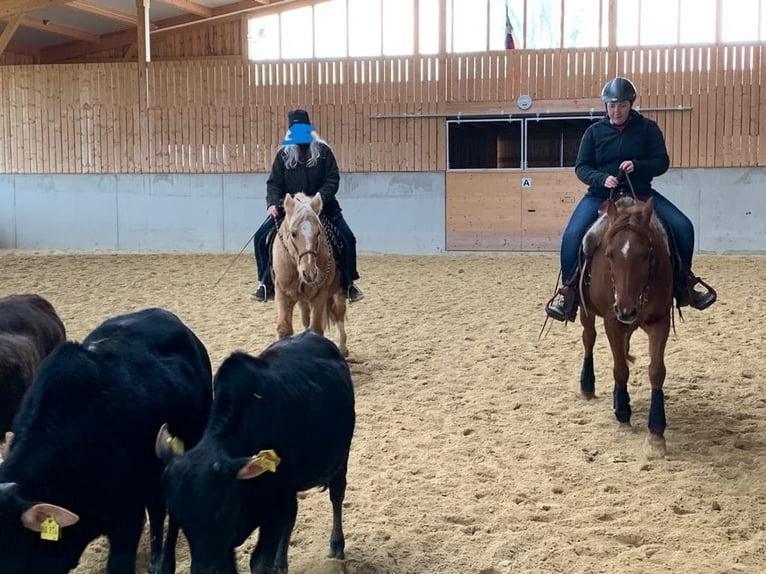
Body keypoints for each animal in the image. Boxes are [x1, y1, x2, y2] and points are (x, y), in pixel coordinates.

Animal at [160, 328, 358, 574]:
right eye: (177, 512)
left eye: (219, 507)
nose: (204, 568)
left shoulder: (273, 508)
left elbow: (260, 562)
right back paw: (282, 564)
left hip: (341, 459)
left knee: (336, 495)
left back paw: (336, 546)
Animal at [270, 194, 348, 356]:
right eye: (293, 233)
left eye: (318, 233)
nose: (310, 273)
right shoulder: (282, 293)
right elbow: (284, 328)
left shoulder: (320, 294)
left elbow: (316, 328)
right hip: (303, 300)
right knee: (306, 319)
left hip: (338, 293)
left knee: (339, 313)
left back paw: (343, 348)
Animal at [580, 198, 676, 460]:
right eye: (609, 255)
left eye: (645, 254)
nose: (626, 310)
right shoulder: (612, 322)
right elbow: (620, 369)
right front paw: (623, 418)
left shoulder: (660, 321)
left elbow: (656, 371)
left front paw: (656, 434)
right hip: (587, 311)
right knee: (589, 338)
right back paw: (587, 386)